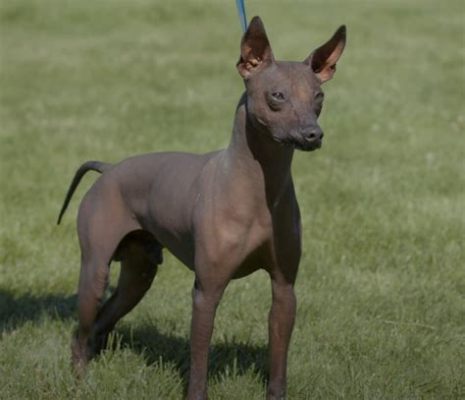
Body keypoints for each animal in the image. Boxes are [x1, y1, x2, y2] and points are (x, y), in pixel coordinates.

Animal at [57, 16, 344, 400]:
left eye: (318, 96)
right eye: (277, 95)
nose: (313, 134)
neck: (260, 190)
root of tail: (110, 168)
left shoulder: (284, 290)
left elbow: (278, 363)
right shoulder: (206, 291)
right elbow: (199, 363)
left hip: (138, 276)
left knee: (103, 321)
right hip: (94, 271)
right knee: (81, 330)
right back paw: (81, 382)